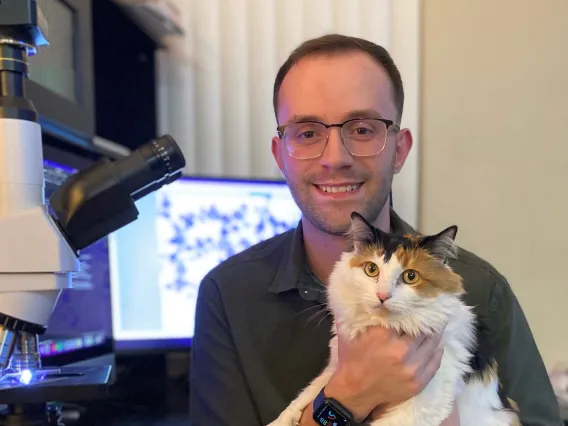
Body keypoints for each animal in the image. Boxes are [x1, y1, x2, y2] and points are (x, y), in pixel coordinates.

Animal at [268, 213, 520, 426]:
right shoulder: (336, 367)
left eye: (410, 276)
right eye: (371, 269)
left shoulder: (428, 399)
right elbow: (309, 392)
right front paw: (281, 421)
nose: (382, 295)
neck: (386, 326)